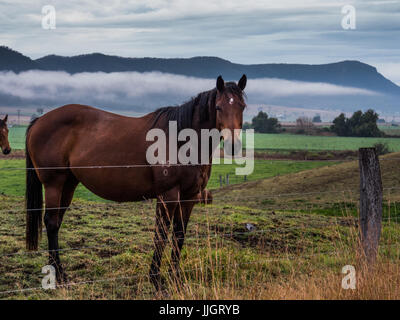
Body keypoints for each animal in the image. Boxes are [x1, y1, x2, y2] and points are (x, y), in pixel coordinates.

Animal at [25, 75, 247, 290]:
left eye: (243, 106)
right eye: (218, 107)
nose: (233, 145)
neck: (182, 141)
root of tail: (39, 120)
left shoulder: (190, 196)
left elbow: (179, 236)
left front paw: (175, 278)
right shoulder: (168, 195)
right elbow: (161, 235)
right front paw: (156, 280)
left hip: (69, 184)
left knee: (56, 223)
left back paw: (60, 275)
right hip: (54, 184)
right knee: (51, 222)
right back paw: (59, 277)